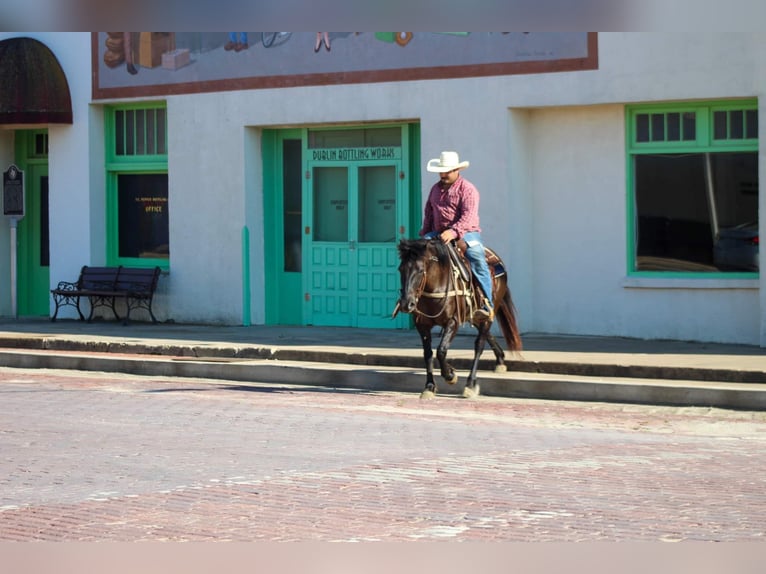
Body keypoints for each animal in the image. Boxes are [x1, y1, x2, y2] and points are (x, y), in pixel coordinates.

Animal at [396, 238, 520, 400]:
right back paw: (500, 360)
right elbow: (427, 354)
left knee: (479, 344)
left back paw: (470, 384)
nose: (406, 304)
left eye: (420, 270)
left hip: (489, 312)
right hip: (474, 315)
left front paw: (450, 375)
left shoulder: (452, 322)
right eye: (400, 269)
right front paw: (429, 386)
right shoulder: (422, 325)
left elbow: (441, 351)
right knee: (486, 334)